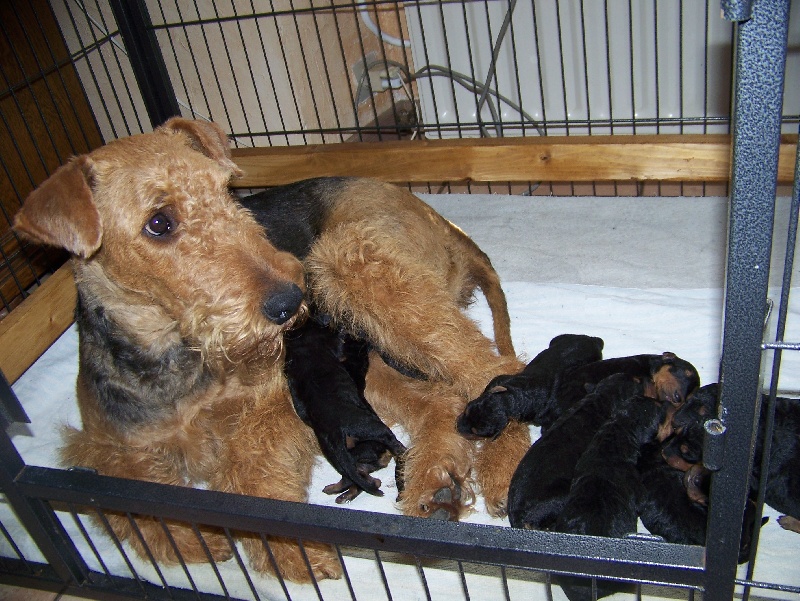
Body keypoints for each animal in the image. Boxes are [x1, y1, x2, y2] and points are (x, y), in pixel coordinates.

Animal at [282, 314, 406, 502]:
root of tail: (336, 431)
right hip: (370, 426)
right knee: (386, 446)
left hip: (343, 456)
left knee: (360, 477)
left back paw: (338, 492)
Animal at [454, 330, 604, 438]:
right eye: (467, 410)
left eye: (476, 431)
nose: (457, 426)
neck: (510, 397)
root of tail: (594, 341)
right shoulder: (500, 380)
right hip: (563, 338)